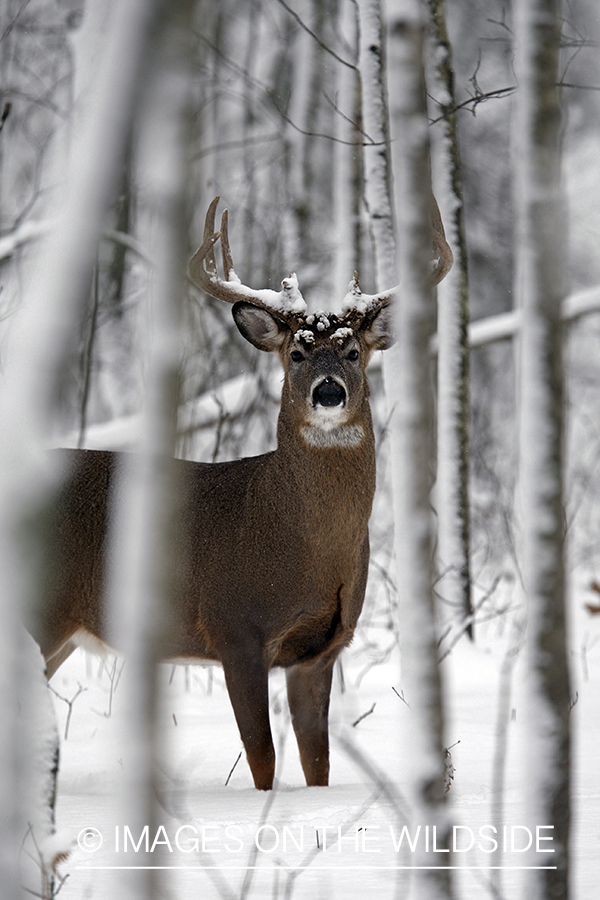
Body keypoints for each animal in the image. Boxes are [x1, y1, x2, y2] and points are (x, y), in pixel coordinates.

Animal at [28, 195, 450, 788]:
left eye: (353, 353)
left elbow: (317, 763)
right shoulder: (235, 629)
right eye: (296, 354)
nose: (328, 392)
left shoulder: (323, 650)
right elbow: (263, 757)